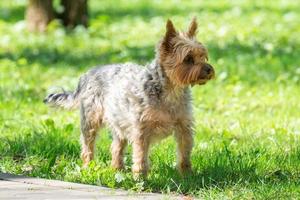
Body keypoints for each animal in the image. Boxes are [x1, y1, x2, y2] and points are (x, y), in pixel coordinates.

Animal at [44, 18, 213, 176]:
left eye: (203, 56)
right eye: (188, 59)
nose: (209, 70)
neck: (171, 90)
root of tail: (87, 74)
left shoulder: (184, 126)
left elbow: (184, 152)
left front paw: (187, 175)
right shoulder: (142, 129)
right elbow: (140, 155)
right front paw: (141, 177)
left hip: (119, 121)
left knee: (116, 146)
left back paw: (117, 168)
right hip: (91, 120)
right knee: (88, 146)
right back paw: (88, 167)